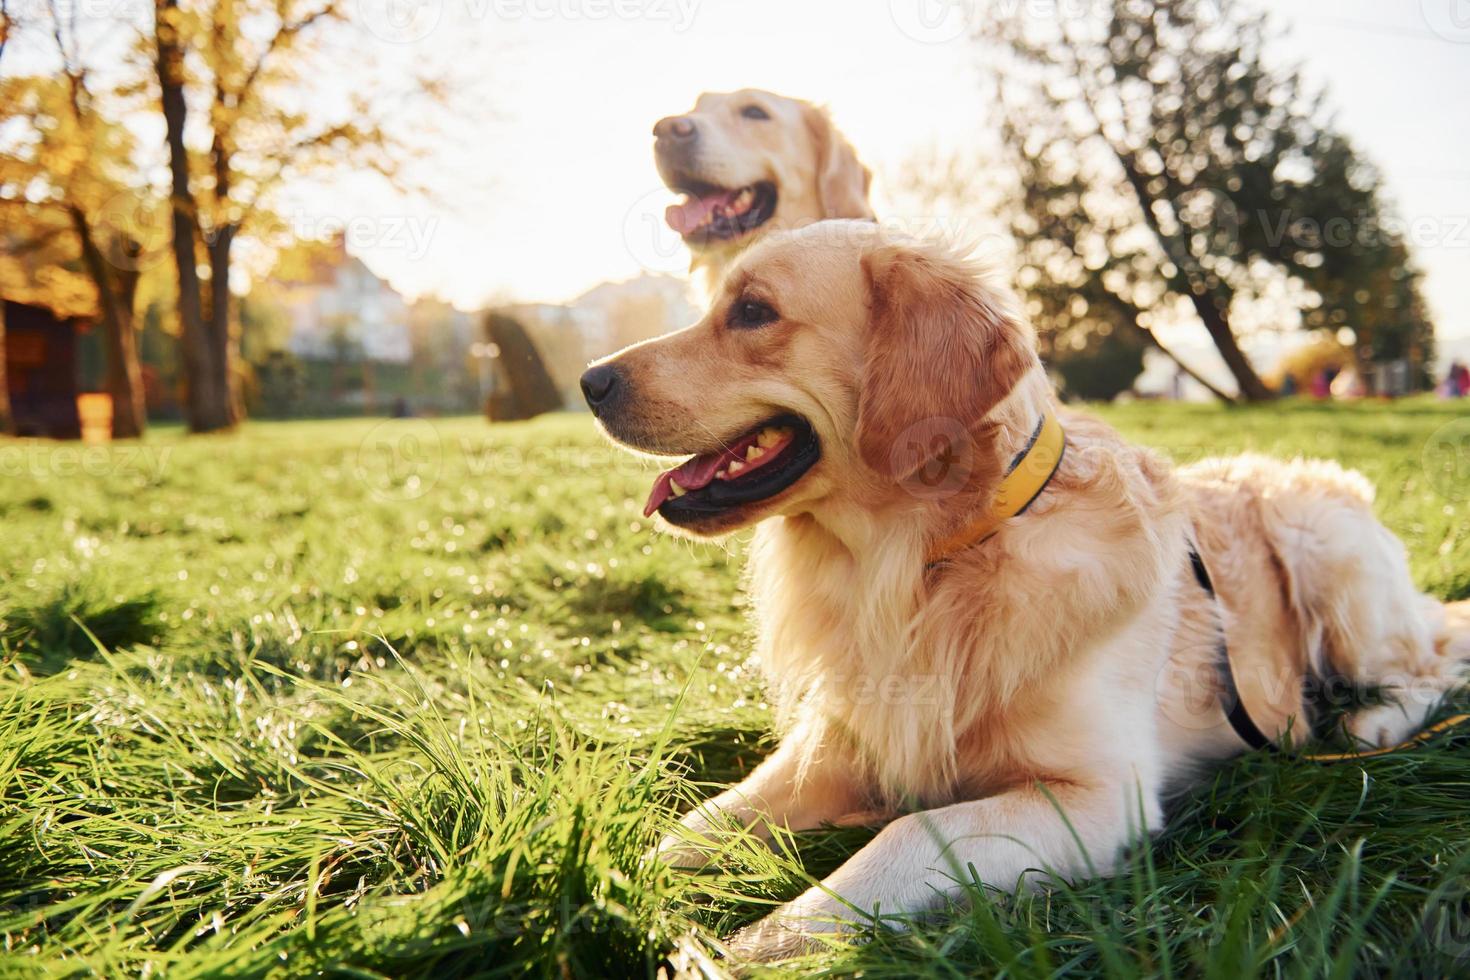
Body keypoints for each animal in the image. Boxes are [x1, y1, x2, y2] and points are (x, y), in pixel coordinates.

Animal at [579, 220, 1464, 957]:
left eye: (755, 311)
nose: (589, 381)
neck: (928, 565)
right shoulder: (834, 746)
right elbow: (702, 822)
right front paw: (616, 882)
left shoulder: (1097, 796)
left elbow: (908, 835)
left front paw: (749, 945)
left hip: (1326, 552)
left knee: (1434, 663)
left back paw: (1371, 720)